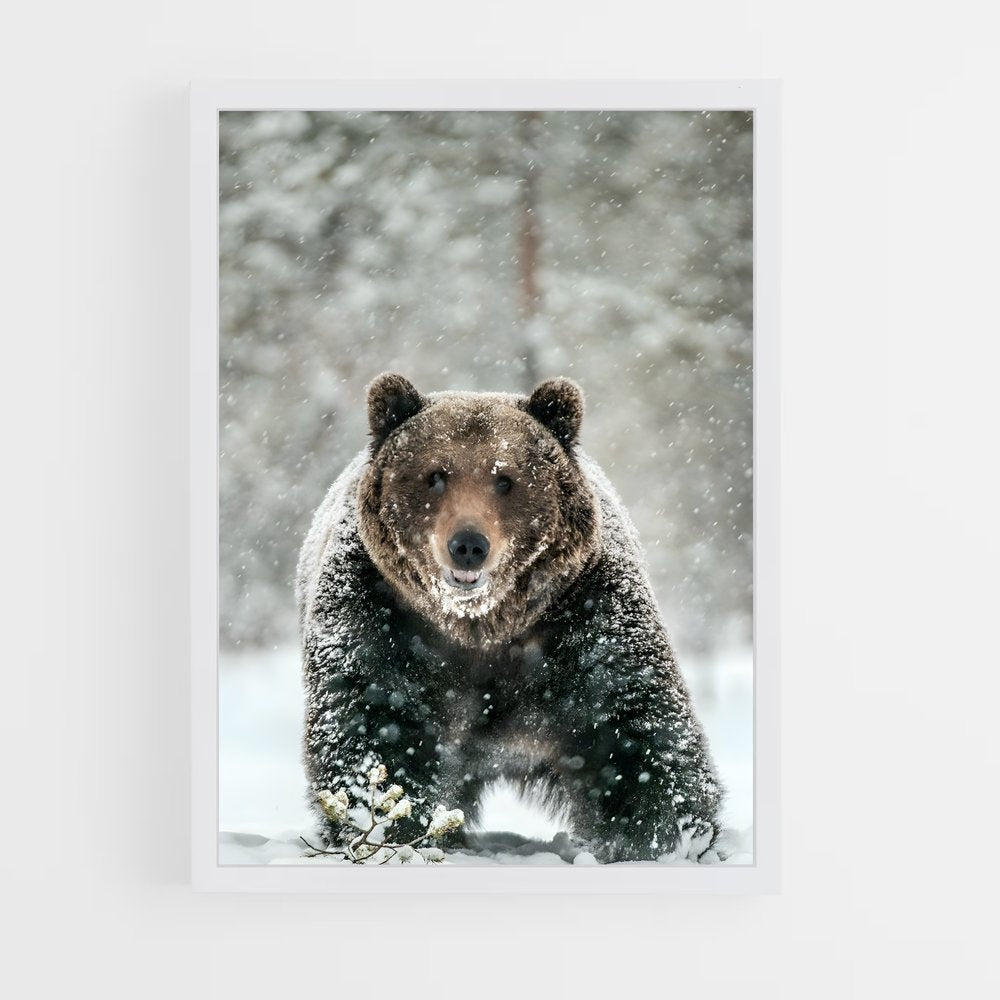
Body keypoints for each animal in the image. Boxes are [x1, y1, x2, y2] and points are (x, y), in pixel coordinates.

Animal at [296, 373, 722, 863]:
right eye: (435, 475)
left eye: (505, 478)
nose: (468, 544)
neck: (481, 624)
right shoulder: (380, 614)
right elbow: (375, 720)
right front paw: (389, 829)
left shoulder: (586, 617)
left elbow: (631, 721)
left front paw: (662, 836)